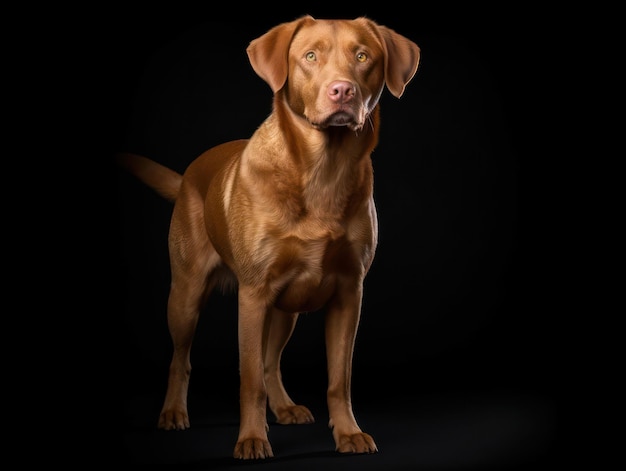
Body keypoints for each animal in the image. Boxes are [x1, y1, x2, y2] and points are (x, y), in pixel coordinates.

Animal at [117, 15, 420, 460]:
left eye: (363, 56)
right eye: (310, 56)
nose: (342, 90)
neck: (323, 170)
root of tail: (189, 172)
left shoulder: (349, 293)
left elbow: (338, 379)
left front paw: (348, 433)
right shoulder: (253, 294)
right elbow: (248, 380)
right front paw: (251, 438)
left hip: (286, 309)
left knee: (270, 361)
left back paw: (284, 407)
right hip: (186, 296)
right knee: (182, 358)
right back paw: (173, 412)